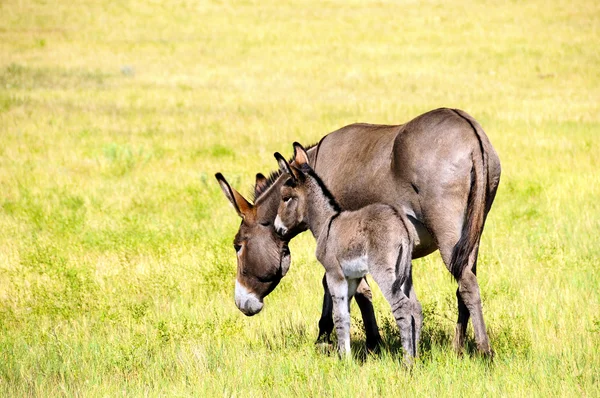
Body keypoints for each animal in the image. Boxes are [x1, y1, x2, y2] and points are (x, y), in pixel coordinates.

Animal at [274, 143, 422, 364]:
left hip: (383, 271)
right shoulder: (352, 278)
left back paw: (407, 363)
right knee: (415, 308)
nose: (277, 229)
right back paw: (417, 357)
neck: (326, 222)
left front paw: (345, 360)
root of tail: (401, 224)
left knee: (402, 307)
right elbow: (346, 315)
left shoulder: (334, 274)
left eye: (285, 198)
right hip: (405, 271)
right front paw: (346, 356)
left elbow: (339, 317)